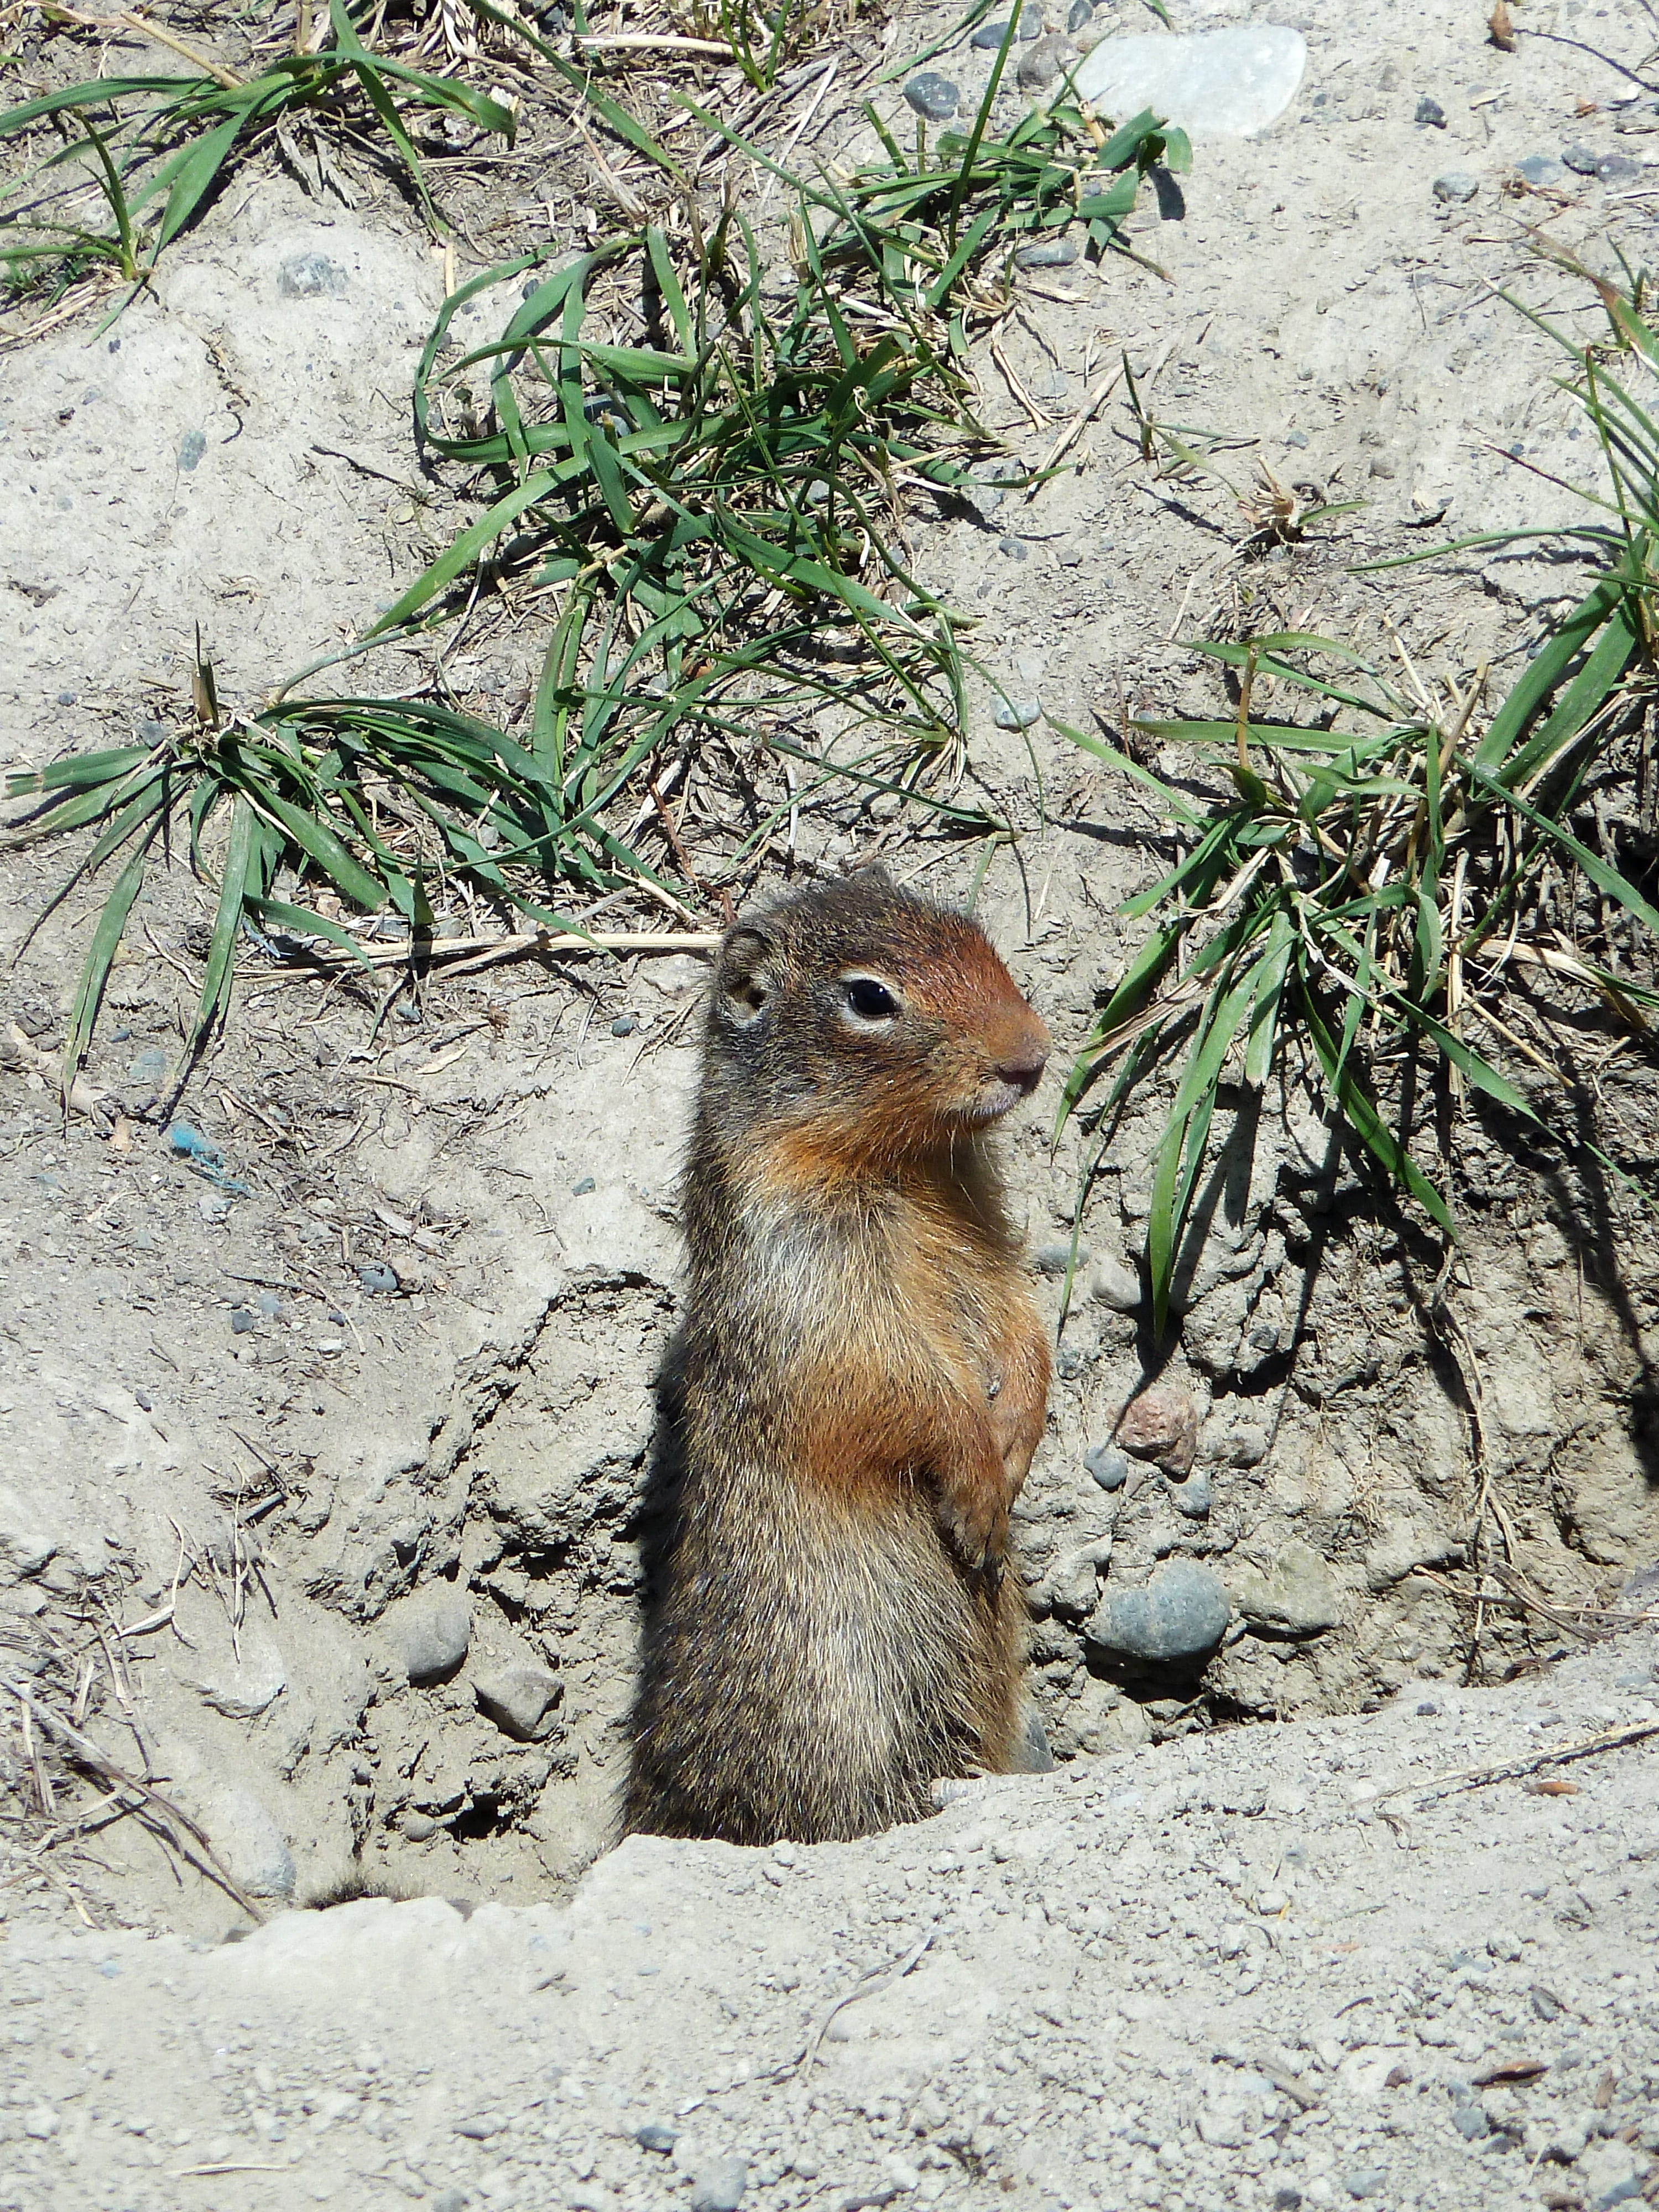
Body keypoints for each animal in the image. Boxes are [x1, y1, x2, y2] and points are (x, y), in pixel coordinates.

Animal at [622, 868, 1052, 1847]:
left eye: (978, 936)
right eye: (869, 998)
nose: (1033, 1054)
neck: (911, 1165)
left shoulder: (988, 1242)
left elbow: (1025, 1326)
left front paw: (1014, 1447)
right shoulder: (811, 1284)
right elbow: (894, 1387)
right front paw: (977, 1492)